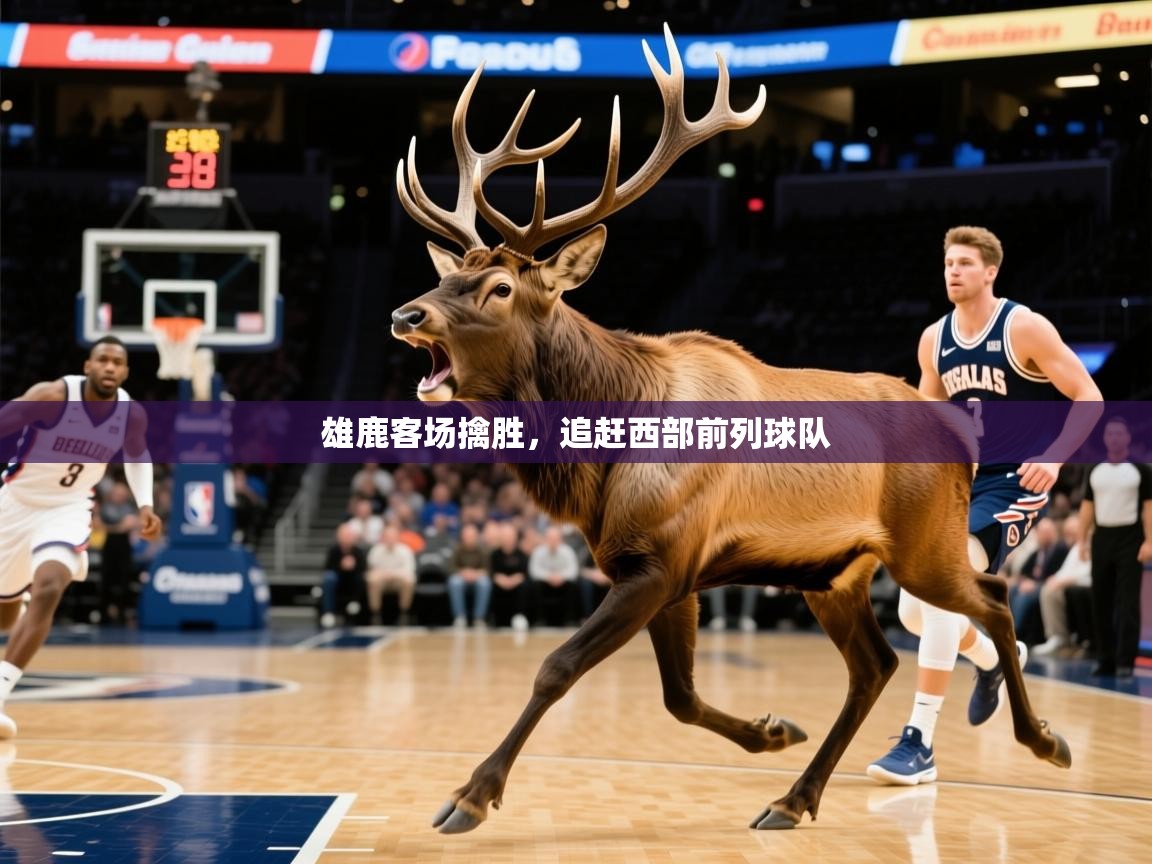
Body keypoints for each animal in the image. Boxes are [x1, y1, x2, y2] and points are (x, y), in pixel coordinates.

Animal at [389, 25, 1071, 834]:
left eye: (498, 287)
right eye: (447, 275)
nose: (405, 314)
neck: (602, 459)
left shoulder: (660, 561)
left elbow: (559, 667)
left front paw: (471, 794)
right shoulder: (660, 569)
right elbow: (679, 697)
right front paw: (773, 730)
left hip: (924, 541)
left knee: (991, 596)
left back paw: (1045, 740)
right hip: (834, 571)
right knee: (877, 662)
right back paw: (794, 797)